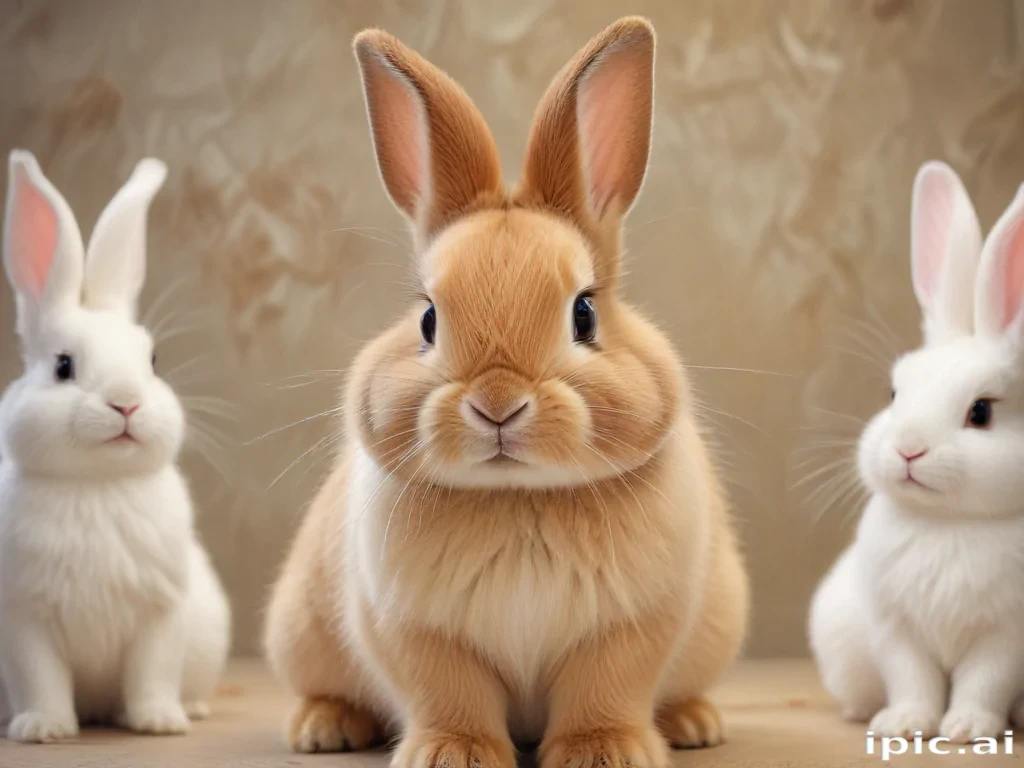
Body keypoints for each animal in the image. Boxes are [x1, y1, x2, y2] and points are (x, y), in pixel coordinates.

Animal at [0, 151, 230, 743]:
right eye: (63, 366)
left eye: (152, 361)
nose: (126, 402)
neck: (97, 484)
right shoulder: (25, 617)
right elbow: (42, 678)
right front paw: (45, 729)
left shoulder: (160, 612)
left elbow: (151, 672)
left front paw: (159, 722)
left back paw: (191, 709)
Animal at [263, 16, 749, 768]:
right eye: (428, 319)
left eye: (584, 315)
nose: (497, 403)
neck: (517, 496)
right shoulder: (414, 632)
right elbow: (450, 695)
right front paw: (451, 755)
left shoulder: (631, 629)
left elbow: (604, 690)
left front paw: (603, 752)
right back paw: (324, 728)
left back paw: (695, 723)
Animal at [809, 161, 1024, 743]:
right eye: (894, 393)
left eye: (981, 412)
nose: (908, 450)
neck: (947, 524)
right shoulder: (896, 629)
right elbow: (913, 680)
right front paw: (902, 726)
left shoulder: (1005, 638)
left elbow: (983, 682)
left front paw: (968, 729)